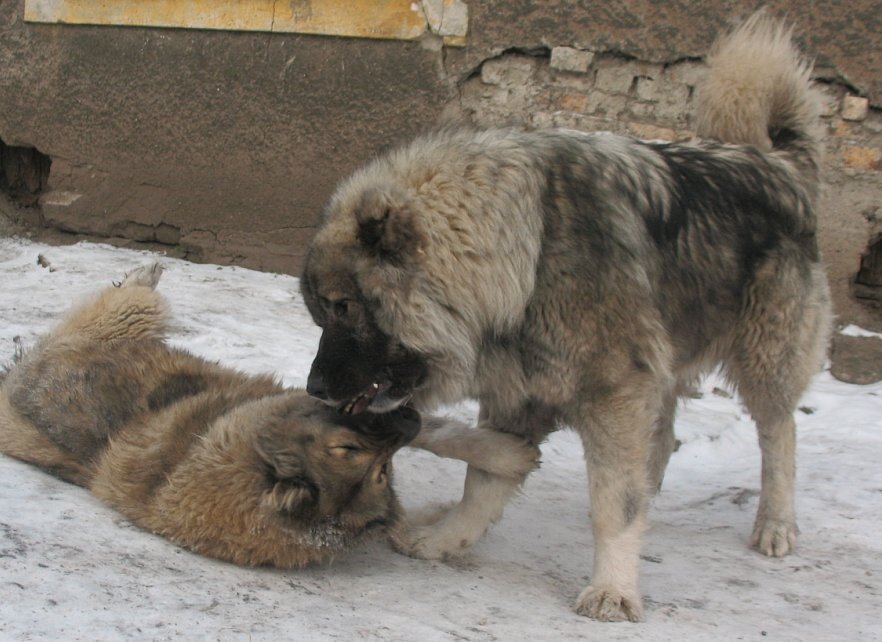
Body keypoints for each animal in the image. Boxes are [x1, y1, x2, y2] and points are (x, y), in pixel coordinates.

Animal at [0, 264, 536, 564]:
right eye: (354, 453)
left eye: (381, 472)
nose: (406, 424)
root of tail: (16, 378)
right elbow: (434, 431)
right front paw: (509, 453)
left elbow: (435, 434)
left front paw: (503, 454)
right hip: (121, 323)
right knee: (127, 297)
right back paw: (147, 273)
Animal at [300, 12, 832, 616]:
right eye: (320, 314)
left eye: (344, 308)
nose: (315, 388)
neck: (524, 258)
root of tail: (779, 163)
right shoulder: (519, 386)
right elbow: (483, 478)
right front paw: (448, 538)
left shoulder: (614, 388)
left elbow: (612, 507)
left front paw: (614, 589)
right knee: (665, 433)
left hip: (765, 356)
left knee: (778, 433)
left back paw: (775, 524)